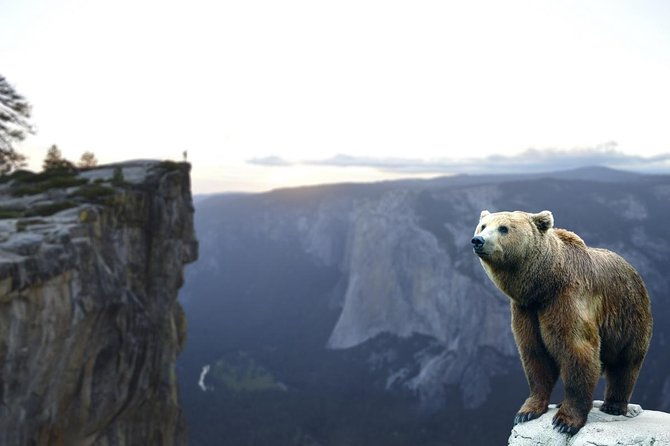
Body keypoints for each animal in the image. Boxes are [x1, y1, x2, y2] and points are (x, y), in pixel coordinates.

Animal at [471, 210, 653, 435]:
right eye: (483, 226)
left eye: (503, 228)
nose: (478, 240)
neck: (543, 285)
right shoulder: (526, 310)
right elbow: (535, 355)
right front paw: (527, 411)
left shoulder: (567, 300)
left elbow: (577, 351)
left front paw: (565, 421)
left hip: (629, 317)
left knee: (625, 363)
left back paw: (614, 405)